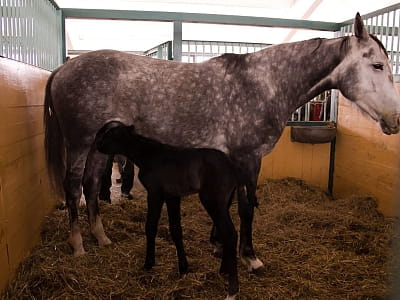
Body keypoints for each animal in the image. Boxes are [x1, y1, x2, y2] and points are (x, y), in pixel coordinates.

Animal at [43, 14, 400, 300]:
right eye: (377, 65)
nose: (394, 120)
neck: (264, 85)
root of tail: (62, 69)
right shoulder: (248, 158)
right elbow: (245, 207)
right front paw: (250, 257)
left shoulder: (228, 161)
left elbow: (228, 204)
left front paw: (218, 245)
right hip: (81, 143)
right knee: (73, 188)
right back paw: (78, 245)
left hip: (100, 146)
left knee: (91, 186)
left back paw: (102, 237)